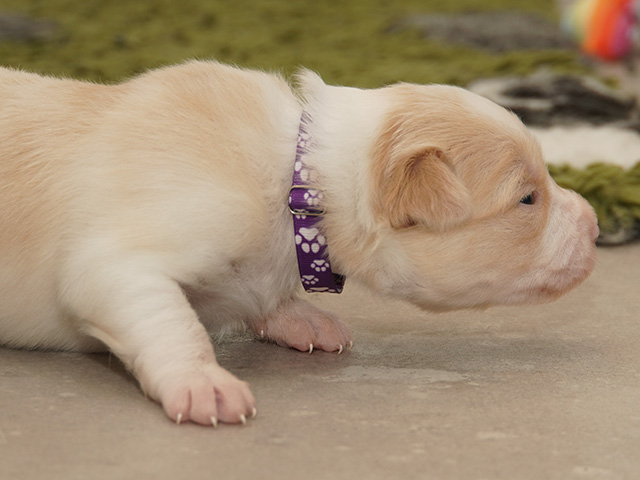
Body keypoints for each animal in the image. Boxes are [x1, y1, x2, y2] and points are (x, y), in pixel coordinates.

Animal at [0, 61, 598, 426]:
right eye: (527, 199)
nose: (594, 225)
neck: (300, 180)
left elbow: (263, 298)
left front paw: (302, 317)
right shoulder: (118, 265)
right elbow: (171, 321)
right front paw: (202, 382)